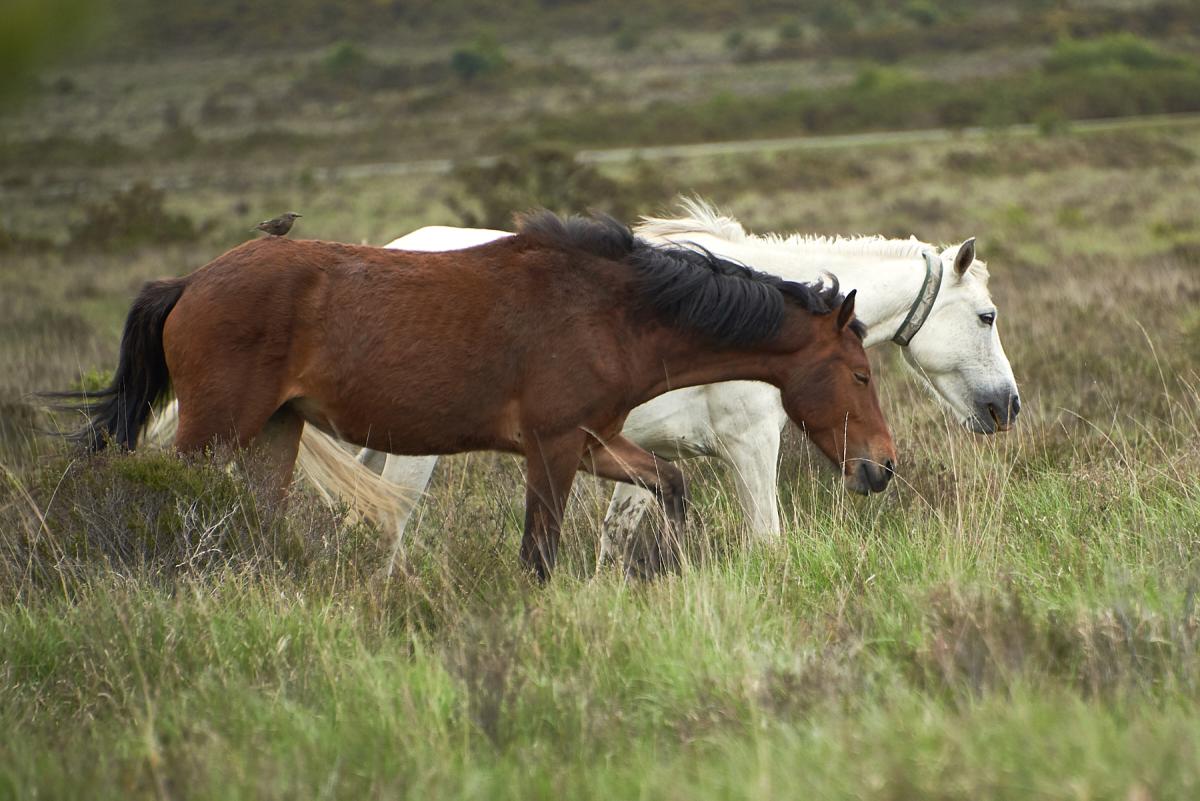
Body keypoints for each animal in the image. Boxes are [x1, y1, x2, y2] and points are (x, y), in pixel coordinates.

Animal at [56, 210, 896, 580]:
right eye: (861, 375)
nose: (881, 467)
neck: (611, 311)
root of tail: (189, 282)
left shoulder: (595, 440)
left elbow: (671, 485)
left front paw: (663, 567)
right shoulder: (552, 448)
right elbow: (538, 554)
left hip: (275, 433)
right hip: (212, 430)